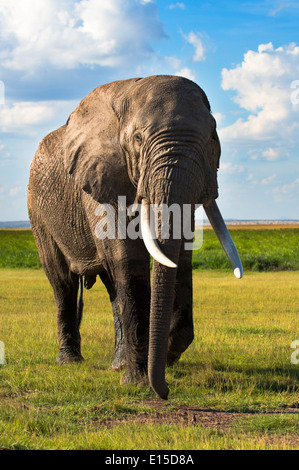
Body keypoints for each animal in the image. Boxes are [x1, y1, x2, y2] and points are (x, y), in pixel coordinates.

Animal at [27, 75, 244, 398]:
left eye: (212, 138)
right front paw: (139, 381)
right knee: (62, 280)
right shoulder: (102, 178)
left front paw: (166, 355)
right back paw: (70, 362)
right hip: (38, 210)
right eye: (139, 139)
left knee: (111, 285)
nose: (164, 392)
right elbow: (128, 259)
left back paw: (118, 364)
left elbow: (178, 257)